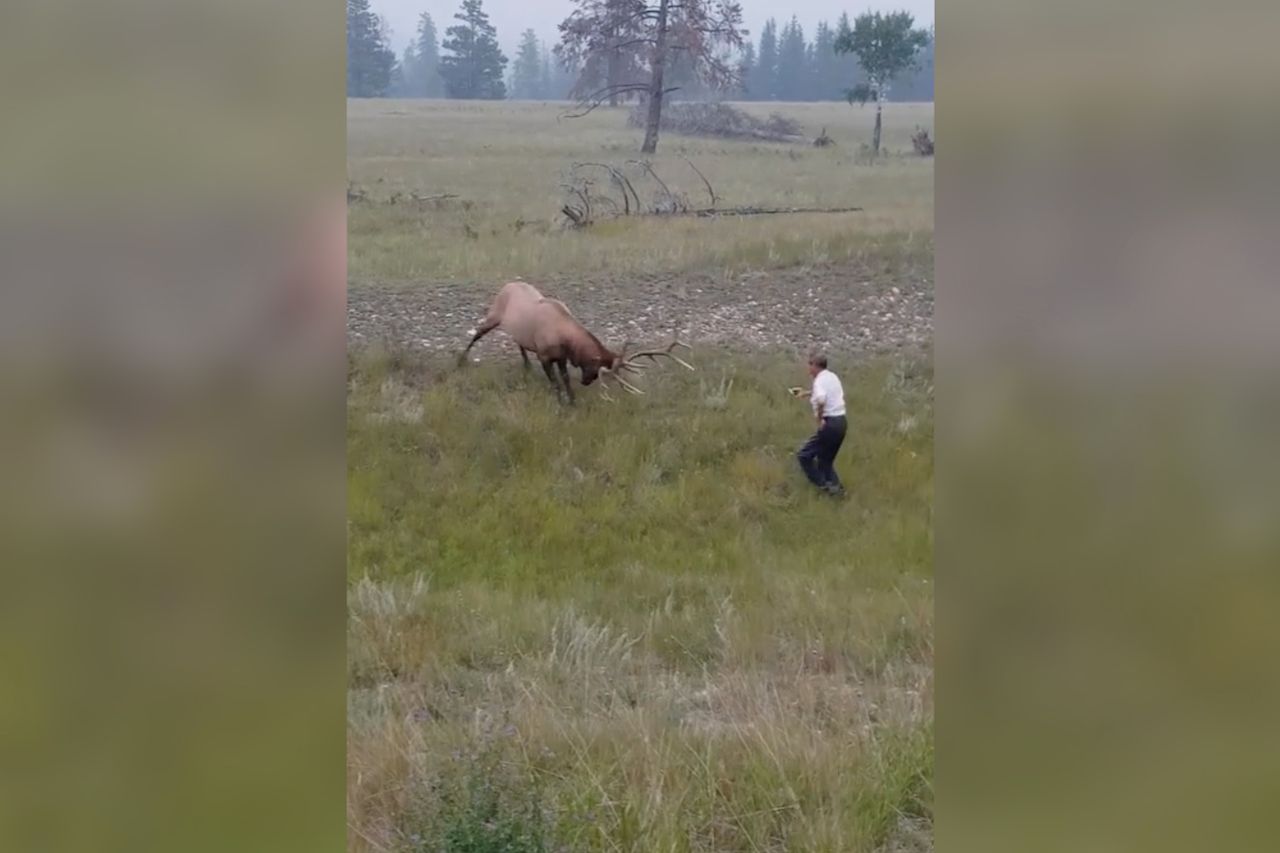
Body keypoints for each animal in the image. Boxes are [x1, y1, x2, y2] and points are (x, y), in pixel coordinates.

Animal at [460, 277, 696, 399]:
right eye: (595, 367)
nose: (586, 382)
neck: (565, 339)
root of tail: (507, 284)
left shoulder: (562, 357)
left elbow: (564, 379)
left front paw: (572, 400)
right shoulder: (545, 356)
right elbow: (555, 382)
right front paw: (561, 402)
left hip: (517, 330)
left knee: (519, 342)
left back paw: (525, 365)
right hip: (494, 315)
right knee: (477, 333)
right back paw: (460, 360)